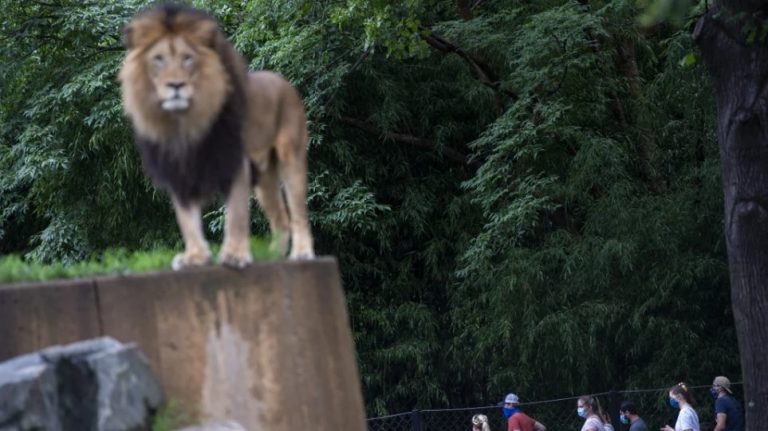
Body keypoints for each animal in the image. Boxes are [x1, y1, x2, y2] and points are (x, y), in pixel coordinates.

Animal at [118, 4, 316, 270]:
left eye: (187, 58)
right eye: (158, 59)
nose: (176, 85)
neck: (184, 123)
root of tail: (283, 80)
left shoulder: (234, 162)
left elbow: (236, 215)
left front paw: (235, 255)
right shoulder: (178, 172)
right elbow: (187, 220)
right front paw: (195, 257)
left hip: (290, 157)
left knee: (298, 214)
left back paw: (302, 253)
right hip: (264, 177)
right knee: (281, 219)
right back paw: (273, 257)